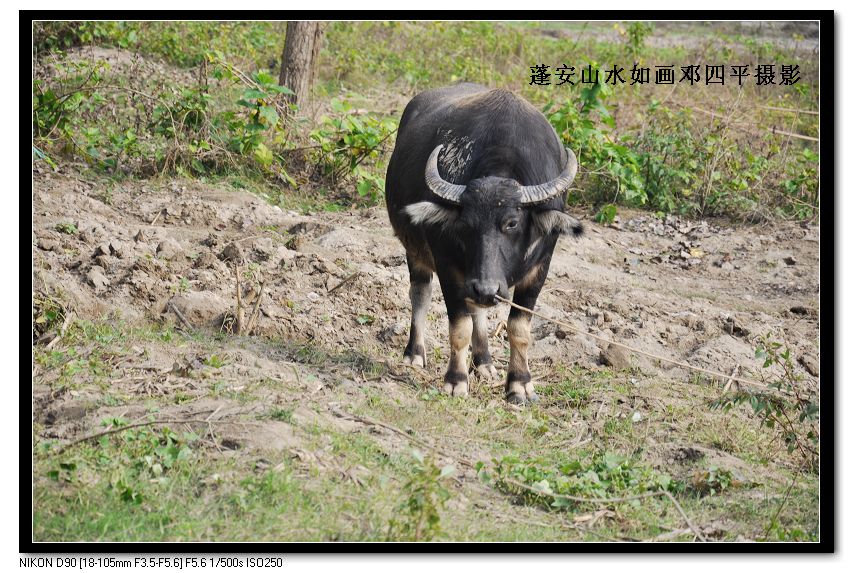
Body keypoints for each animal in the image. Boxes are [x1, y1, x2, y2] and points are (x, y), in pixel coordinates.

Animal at [385, 82, 583, 404]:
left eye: (512, 223)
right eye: (466, 224)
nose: (486, 288)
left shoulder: (539, 269)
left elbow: (519, 328)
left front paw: (519, 383)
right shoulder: (449, 268)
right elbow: (459, 327)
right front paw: (456, 380)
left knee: (477, 308)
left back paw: (485, 361)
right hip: (417, 253)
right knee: (421, 294)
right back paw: (415, 353)